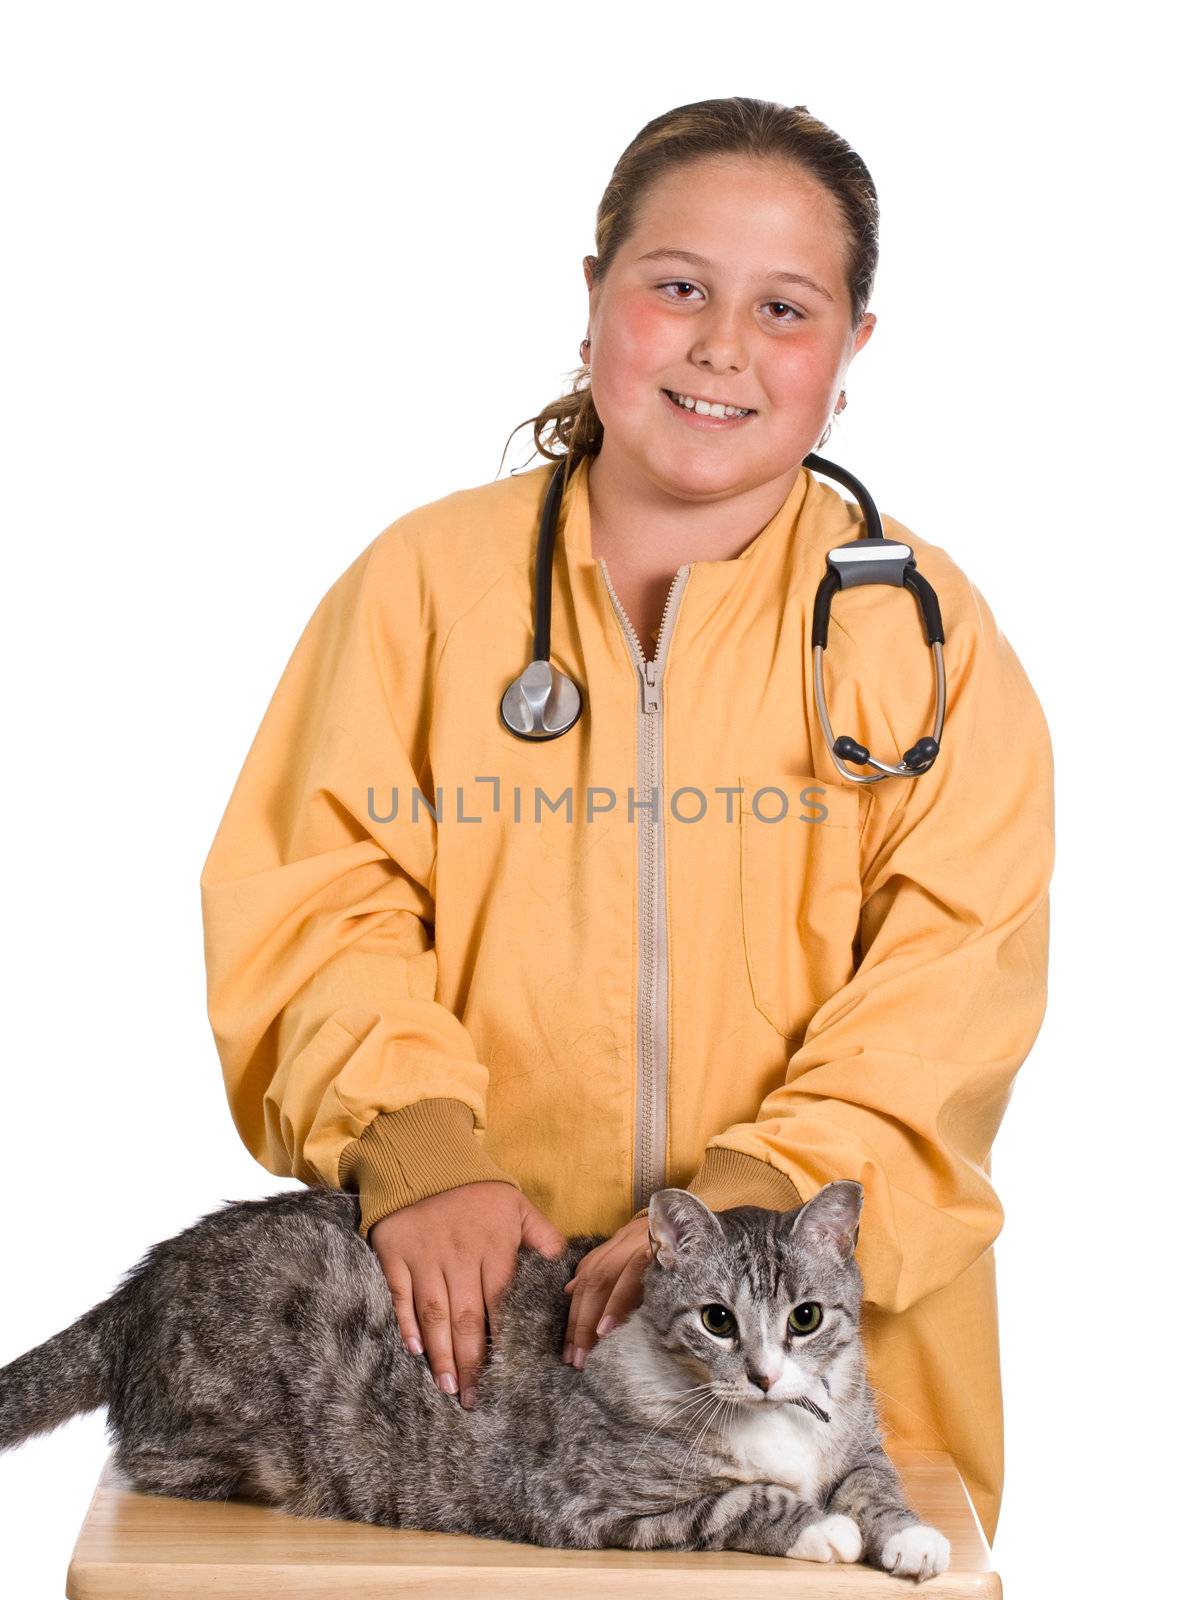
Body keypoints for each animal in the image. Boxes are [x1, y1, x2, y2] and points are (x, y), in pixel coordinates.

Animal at [0, 1171, 947, 1580]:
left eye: (805, 1318)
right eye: (717, 1319)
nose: (761, 1375)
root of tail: (145, 1278)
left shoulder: (855, 1443)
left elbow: (875, 1484)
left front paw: (908, 1536)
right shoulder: (584, 1503)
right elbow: (742, 1501)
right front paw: (820, 1529)